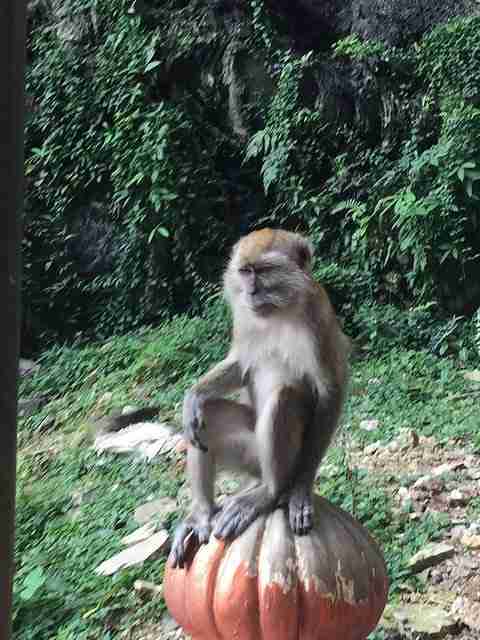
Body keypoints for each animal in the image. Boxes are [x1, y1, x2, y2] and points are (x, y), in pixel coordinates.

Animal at [169, 228, 348, 568]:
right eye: (245, 271)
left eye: (263, 271)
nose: (250, 291)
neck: (278, 310)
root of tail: (260, 474)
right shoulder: (243, 317)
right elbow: (240, 365)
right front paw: (192, 398)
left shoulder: (317, 315)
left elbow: (330, 392)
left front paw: (302, 489)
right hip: (249, 456)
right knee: (208, 419)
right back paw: (201, 514)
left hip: (285, 459)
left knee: (283, 398)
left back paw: (270, 492)